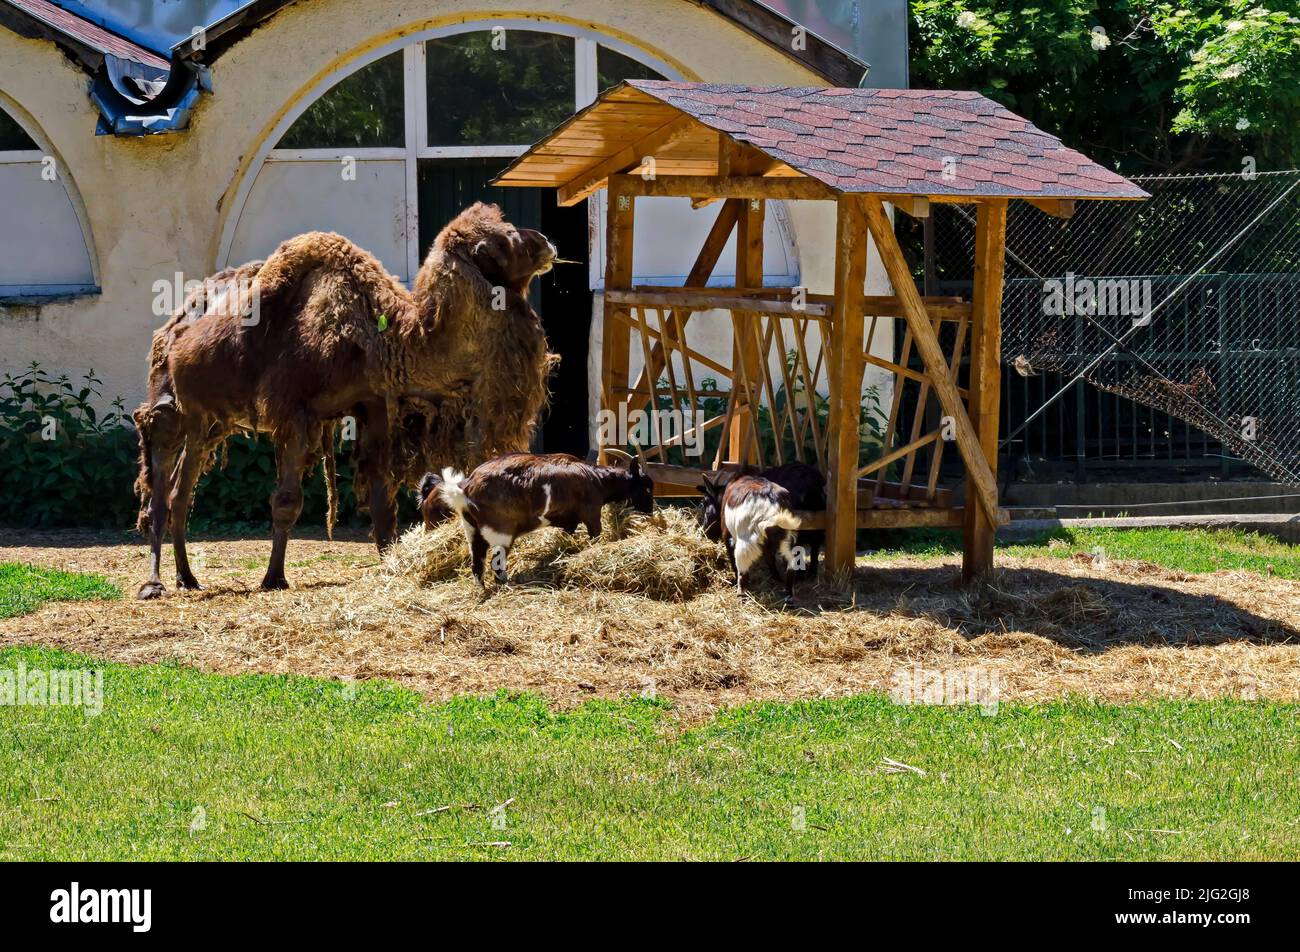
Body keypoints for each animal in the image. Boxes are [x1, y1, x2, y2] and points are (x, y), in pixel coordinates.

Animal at [134, 204, 556, 598]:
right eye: (505, 240)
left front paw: (391, 565)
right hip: (169, 405)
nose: (546, 242)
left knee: (181, 491)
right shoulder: (295, 411)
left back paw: (188, 578)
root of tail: (176, 321)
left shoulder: (373, 406)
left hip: (209, 421)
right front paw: (274, 579)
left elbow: (383, 502)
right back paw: (153, 583)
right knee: (159, 484)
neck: (389, 339)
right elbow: (287, 500)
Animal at [436, 447, 655, 587]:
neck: (597, 479)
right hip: (500, 533)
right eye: (646, 487)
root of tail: (465, 489)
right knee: (496, 565)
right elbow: (595, 535)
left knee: (477, 564)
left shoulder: (569, 522)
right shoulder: (592, 514)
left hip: (472, 531)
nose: (650, 512)